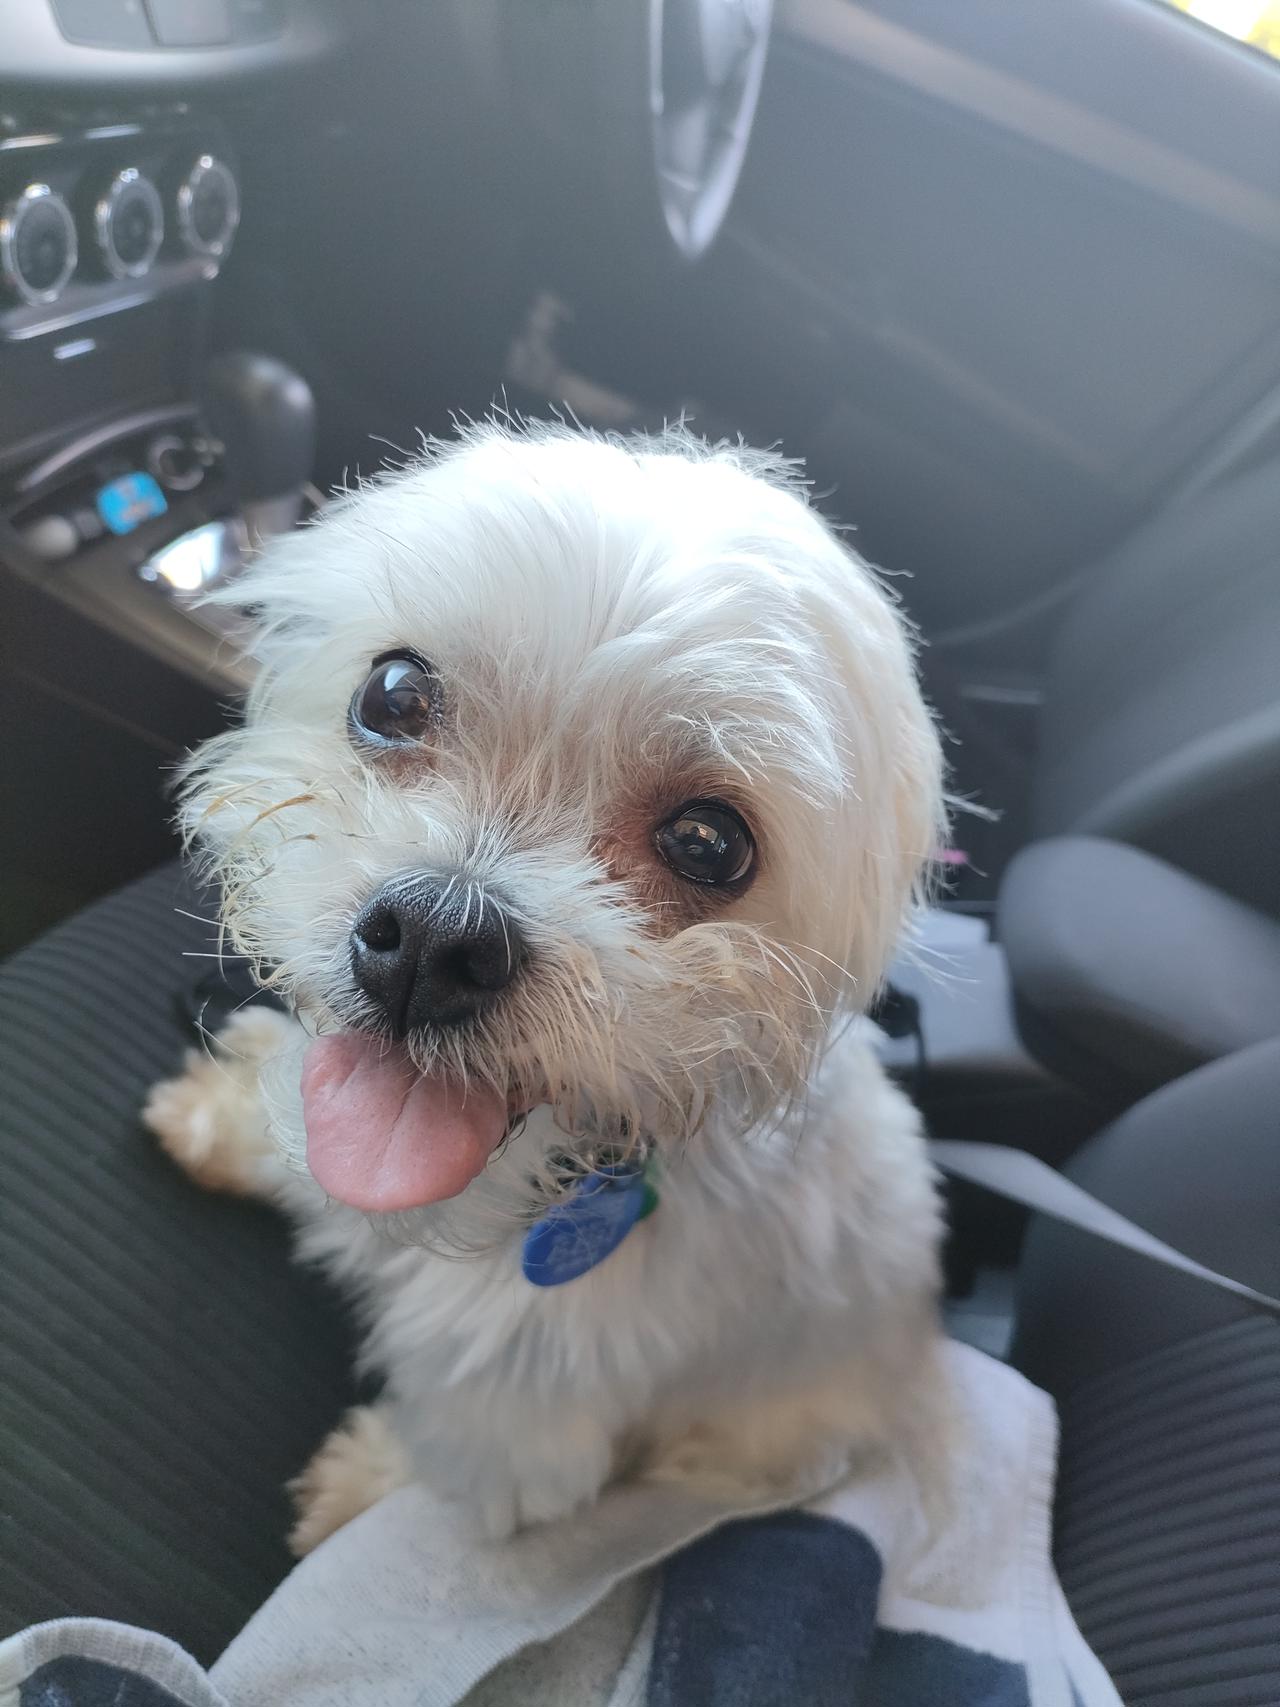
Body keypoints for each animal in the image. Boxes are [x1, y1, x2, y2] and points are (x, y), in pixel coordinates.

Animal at [145, 422, 948, 1551]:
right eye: (394, 694)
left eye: (710, 843)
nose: (433, 938)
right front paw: (223, 1120)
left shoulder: (517, 1409)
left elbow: (446, 1469)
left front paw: (358, 1488)